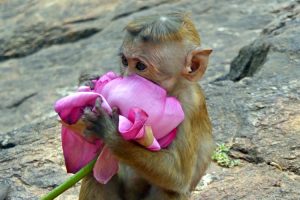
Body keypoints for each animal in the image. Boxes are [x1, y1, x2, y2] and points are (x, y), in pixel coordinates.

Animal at [77, 12, 213, 200]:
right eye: (124, 61)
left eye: (140, 66)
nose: (126, 77)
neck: (172, 91)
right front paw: (89, 83)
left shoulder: (189, 107)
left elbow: (179, 177)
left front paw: (109, 132)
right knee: (95, 176)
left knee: (169, 191)